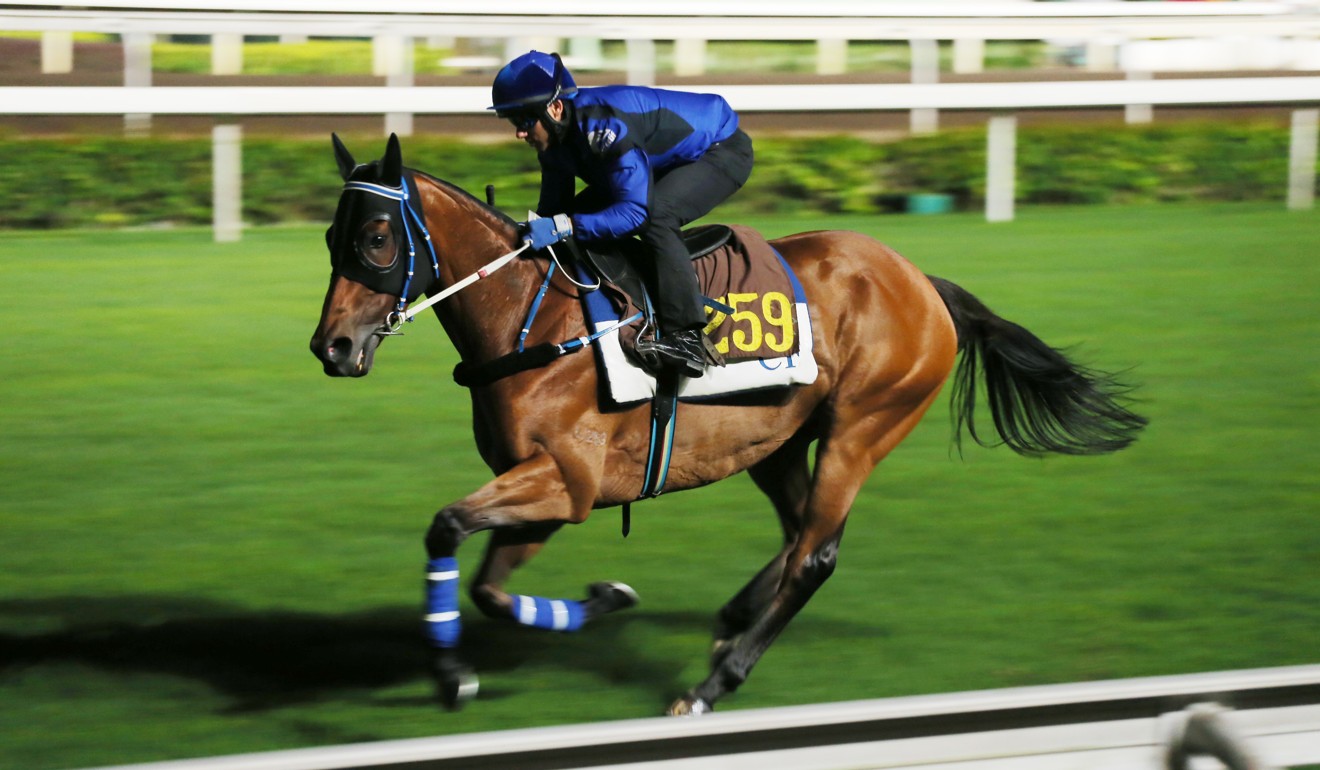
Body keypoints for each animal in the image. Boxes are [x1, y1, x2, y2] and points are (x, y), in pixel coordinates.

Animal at [308, 134, 1145, 718]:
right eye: (329, 238)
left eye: (376, 239)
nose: (332, 347)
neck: (534, 319)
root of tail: (923, 283)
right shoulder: (549, 488)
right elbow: (488, 588)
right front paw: (605, 598)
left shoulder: (565, 480)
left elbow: (448, 527)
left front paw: (453, 675)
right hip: (779, 440)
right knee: (801, 529)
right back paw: (733, 620)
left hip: (862, 426)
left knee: (817, 554)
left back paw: (714, 683)